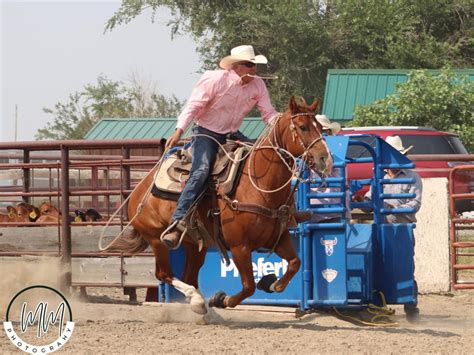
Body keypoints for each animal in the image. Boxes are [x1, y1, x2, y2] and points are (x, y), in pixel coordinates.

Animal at [103, 96, 334, 314]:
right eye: (303, 127)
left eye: (320, 127)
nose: (326, 159)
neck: (257, 185)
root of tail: (138, 190)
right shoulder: (239, 246)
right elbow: (248, 286)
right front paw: (221, 299)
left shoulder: (279, 238)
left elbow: (294, 264)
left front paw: (271, 283)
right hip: (155, 239)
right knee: (165, 274)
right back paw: (198, 300)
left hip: (195, 245)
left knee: (189, 276)